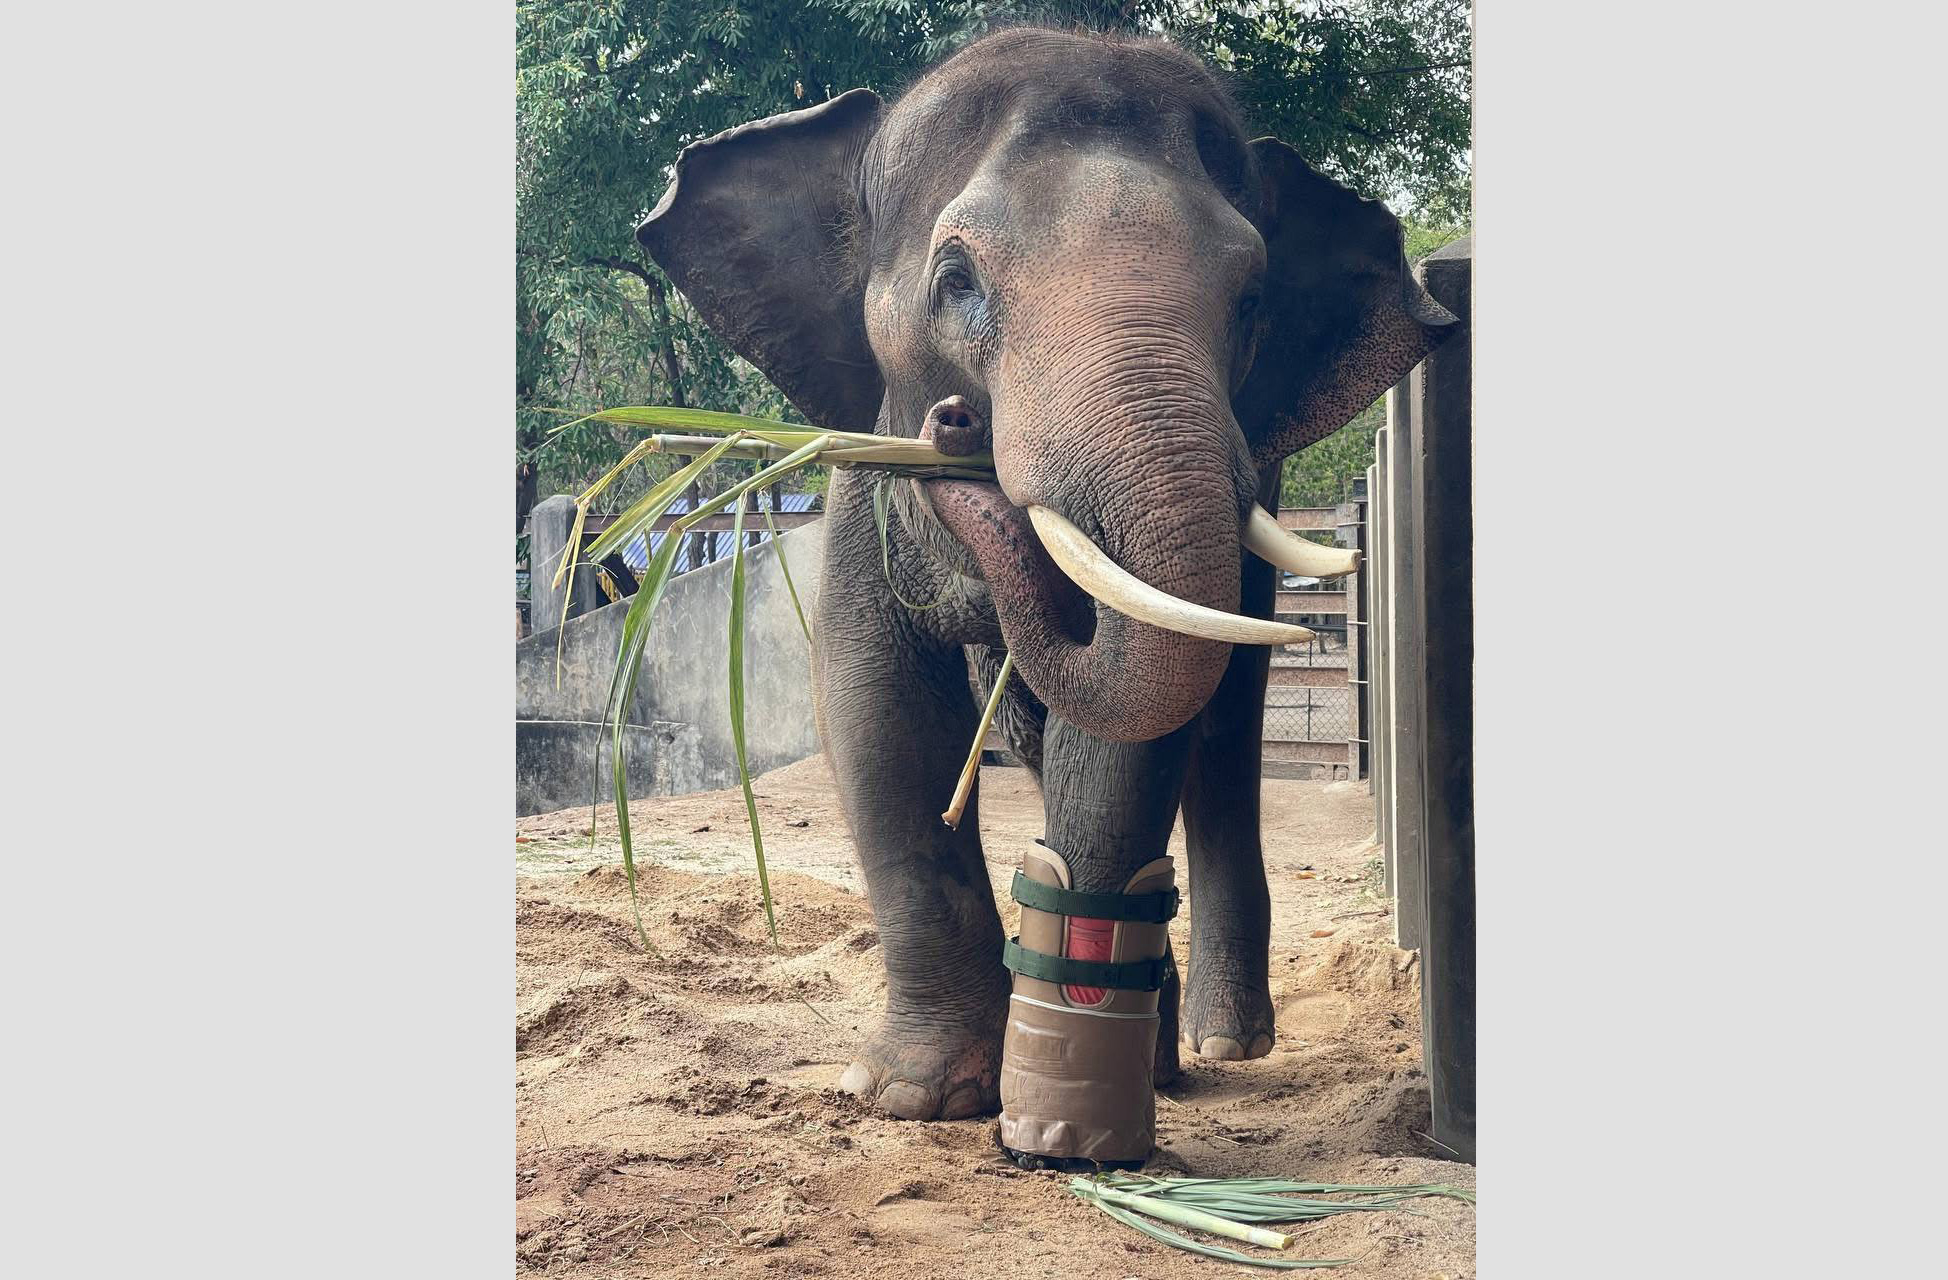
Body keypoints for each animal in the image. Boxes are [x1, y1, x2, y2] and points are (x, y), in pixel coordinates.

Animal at [636, 26, 1454, 1152]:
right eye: (956, 278)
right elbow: (874, 706)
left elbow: (1120, 740)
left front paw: (1068, 1093)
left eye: (1251, 301)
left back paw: (1213, 1046)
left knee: (1221, 737)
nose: (952, 428)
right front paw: (914, 1097)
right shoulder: (865, 473)